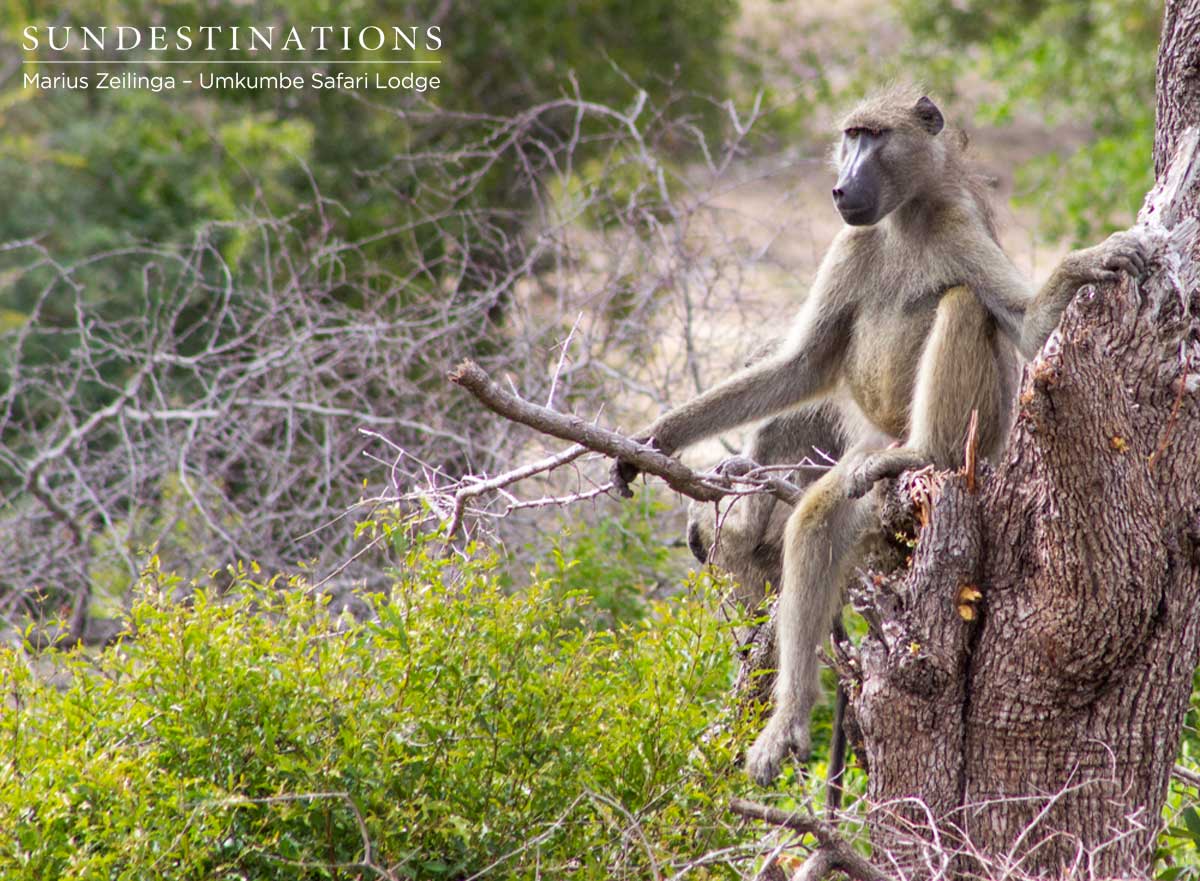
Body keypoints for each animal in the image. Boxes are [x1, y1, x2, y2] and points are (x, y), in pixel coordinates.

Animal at [611, 85, 1150, 786]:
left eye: (874, 138)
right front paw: (658, 438)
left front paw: (1089, 264)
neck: (904, 219)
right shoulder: (848, 243)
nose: (841, 188)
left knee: (962, 304)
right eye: (851, 136)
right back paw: (787, 721)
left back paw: (924, 450)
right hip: (866, 470)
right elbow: (803, 366)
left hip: (970, 438)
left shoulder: (959, 223)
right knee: (816, 522)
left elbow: (1028, 329)